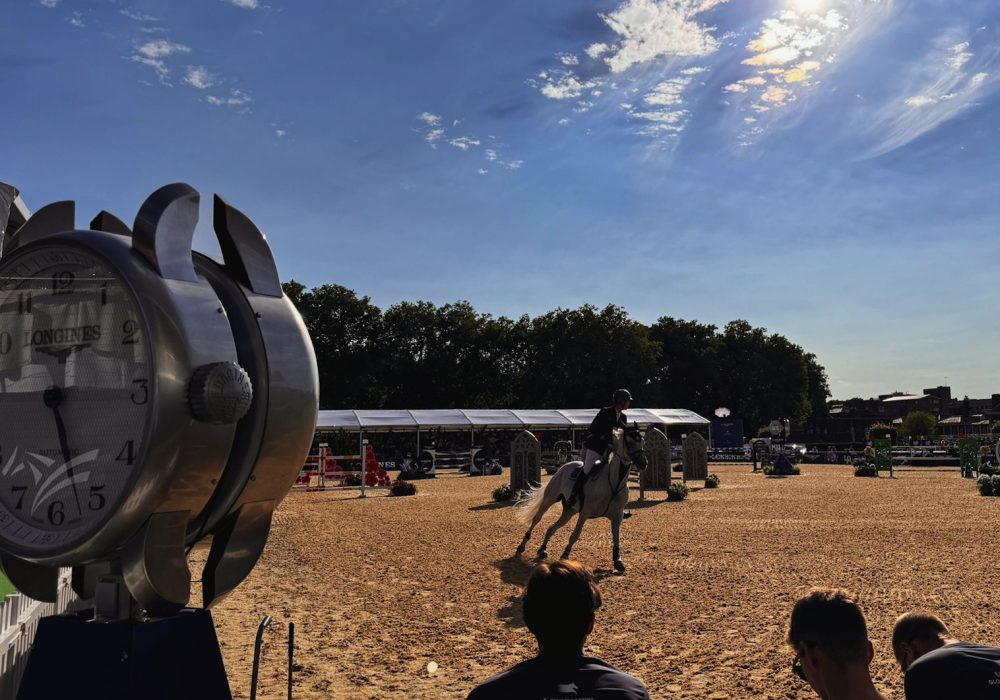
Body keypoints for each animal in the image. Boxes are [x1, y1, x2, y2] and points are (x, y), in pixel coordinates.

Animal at [516, 426, 648, 576]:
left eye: (643, 442)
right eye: (630, 442)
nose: (643, 463)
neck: (614, 483)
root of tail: (563, 466)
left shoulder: (617, 515)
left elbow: (616, 537)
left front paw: (618, 561)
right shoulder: (585, 512)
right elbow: (575, 535)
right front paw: (565, 556)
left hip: (569, 511)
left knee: (552, 527)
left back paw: (542, 549)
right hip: (550, 499)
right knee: (537, 519)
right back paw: (521, 546)